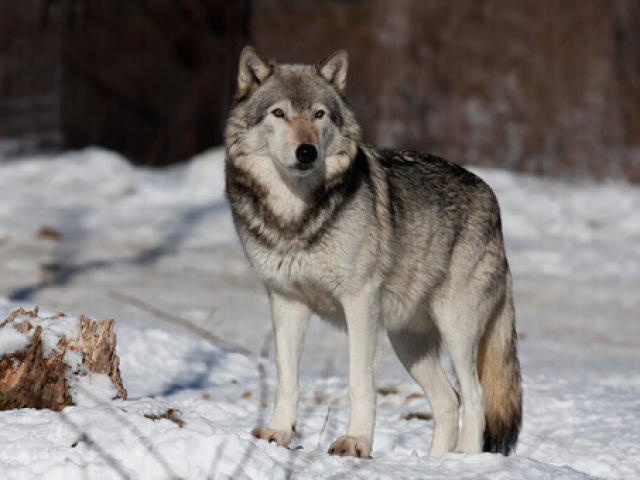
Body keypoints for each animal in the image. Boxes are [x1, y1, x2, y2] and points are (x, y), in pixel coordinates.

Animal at [224, 47, 520, 460]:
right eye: (279, 113)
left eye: (319, 115)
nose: (306, 152)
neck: (296, 218)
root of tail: (492, 199)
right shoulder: (286, 301)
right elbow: (287, 377)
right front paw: (279, 432)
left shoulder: (360, 302)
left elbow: (358, 382)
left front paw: (356, 442)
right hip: (407, 342)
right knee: (449, 401)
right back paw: (436, 463)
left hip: (455, 327)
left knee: (475, 397)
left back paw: (465, 460)